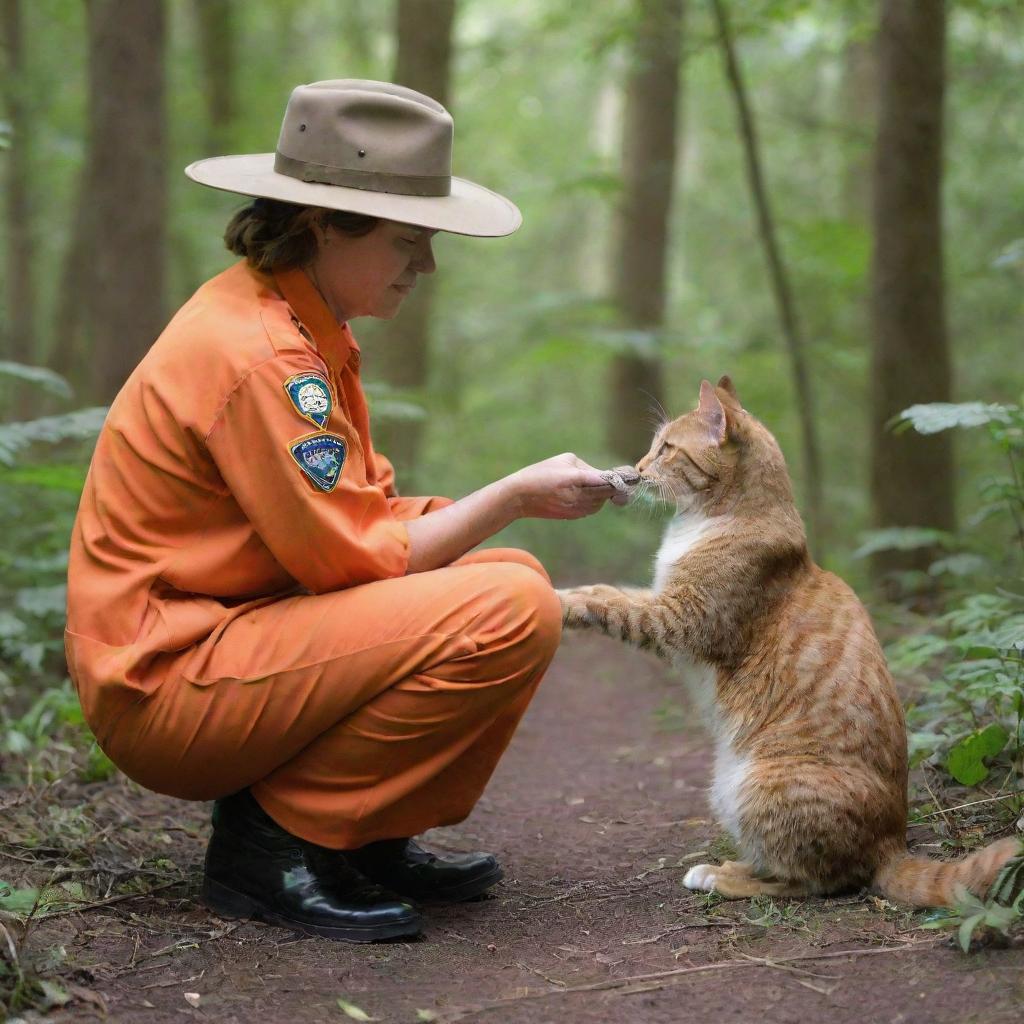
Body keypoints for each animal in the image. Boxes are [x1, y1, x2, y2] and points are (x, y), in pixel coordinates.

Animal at [557, 376, 1019, 905]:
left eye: (666, 448)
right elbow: (605, 590)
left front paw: (557, 604)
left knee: (810, 880)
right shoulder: (661, 598)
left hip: (756, 784)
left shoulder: (681, 618)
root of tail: (892, 841)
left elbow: (611, 607)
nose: (635, 469)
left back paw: (719, 876)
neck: (705, 520)